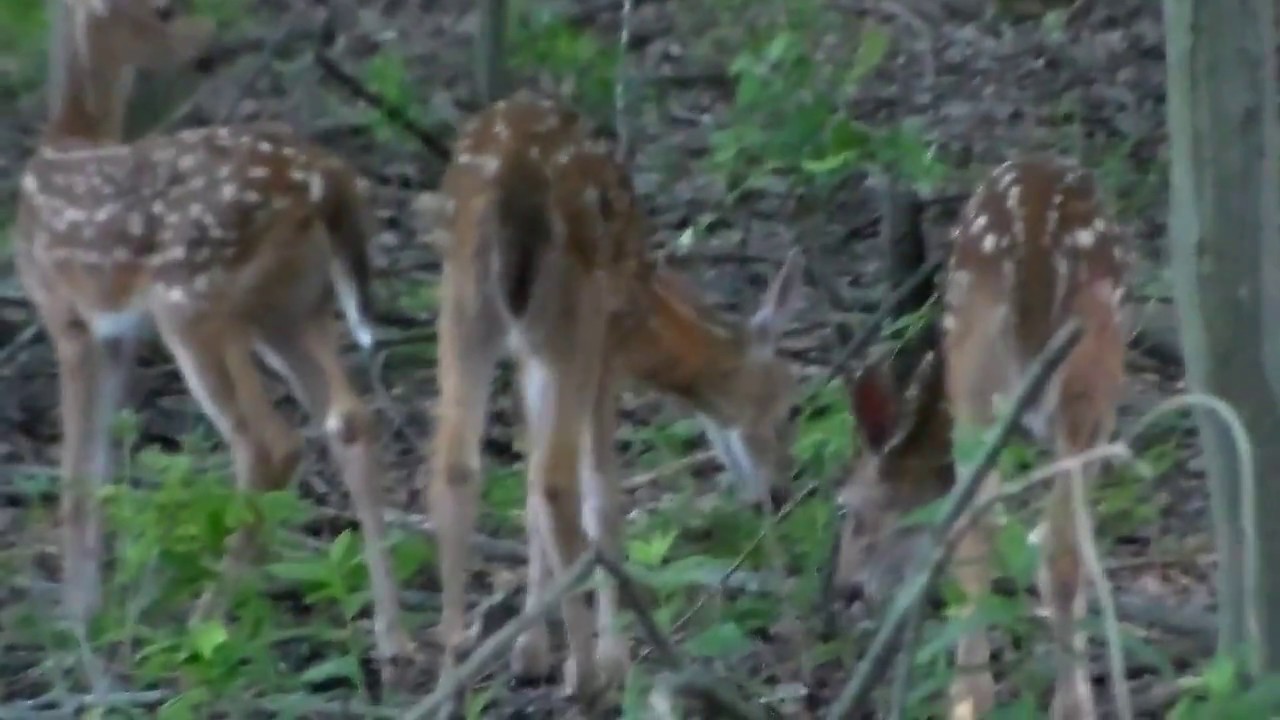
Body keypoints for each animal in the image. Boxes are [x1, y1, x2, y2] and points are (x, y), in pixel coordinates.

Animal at [15, 0, 412, 671]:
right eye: (162, 9)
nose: (206, 47)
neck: (70, 134)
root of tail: (325, 177)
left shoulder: (67, 314)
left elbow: (75, 473)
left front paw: (74, 621)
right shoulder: (116, 334)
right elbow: (98, 464)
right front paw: (91, 612)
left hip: (195, 301)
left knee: (269, 444)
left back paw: (200, 629)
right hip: (295, 309)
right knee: (350, 420)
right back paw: (393, 636)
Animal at [413, 91, 805, 699]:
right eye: (789, 407)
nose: (780, 493)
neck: (650, 316)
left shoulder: (531, 355)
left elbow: (525, 491)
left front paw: (529, 651)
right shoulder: (605, 356)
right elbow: (601, 497)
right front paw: (609, 657)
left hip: (464, 302)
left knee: (455, 468)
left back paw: (451, 673)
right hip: (574, 311)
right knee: (557, 483)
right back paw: (589, 675)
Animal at [833, 155, 1130, 720]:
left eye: (849, 509)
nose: (846, 589)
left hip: (977, 377)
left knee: (978, 530)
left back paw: (967, 699)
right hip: (1088, 383)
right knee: (1056, 546)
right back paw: (1068, 703)